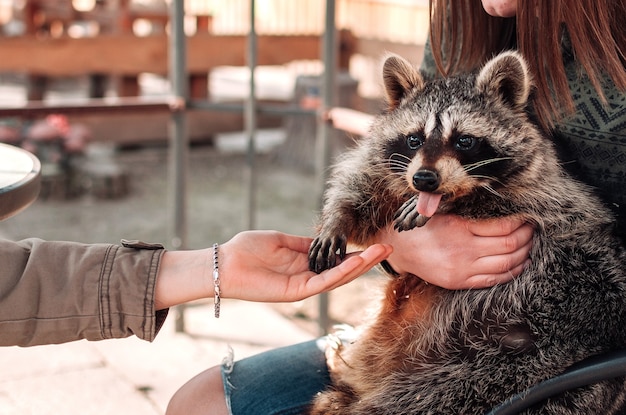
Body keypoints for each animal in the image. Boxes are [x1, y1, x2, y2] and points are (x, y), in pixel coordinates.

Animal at [304, 52, 624, 415]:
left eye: (464, 140)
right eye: (414, 139)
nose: (424, 180)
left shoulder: (548, 196)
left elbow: (499, 201)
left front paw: (449, 204)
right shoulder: (388, 169)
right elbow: (359, 185)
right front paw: (337, 219)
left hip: (503, 370)